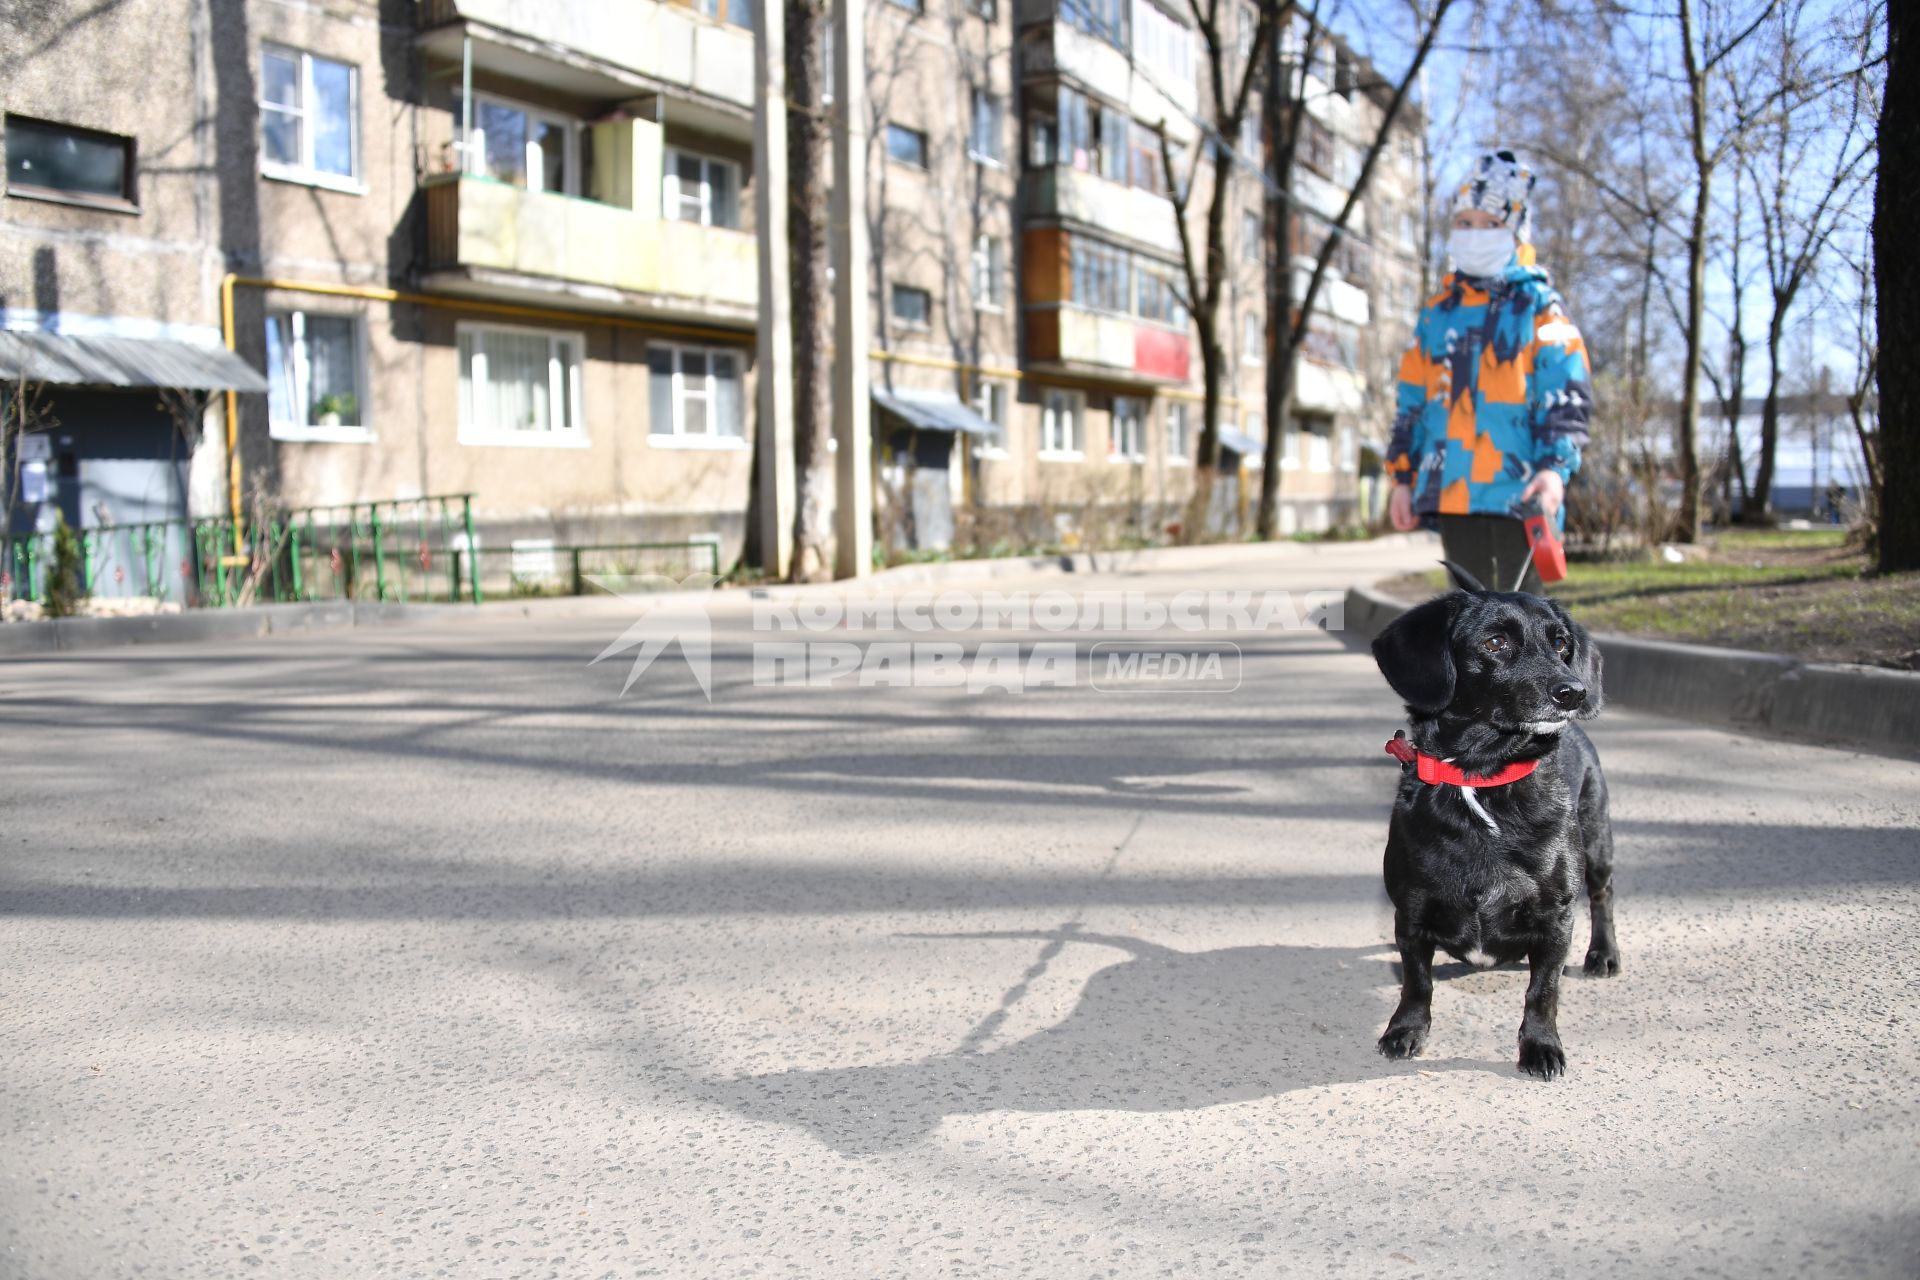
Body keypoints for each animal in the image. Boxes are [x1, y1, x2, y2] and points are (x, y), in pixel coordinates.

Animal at [1367, 564, 1620, 1074]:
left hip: (1598, 840)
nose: (1574, 691)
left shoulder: (1556, 918)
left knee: (1603, 894)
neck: (1479, 780)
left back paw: (1603, 953)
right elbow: (1416, 982)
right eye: (1495, 642)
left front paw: (1541, 1046)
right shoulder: (1412, 915)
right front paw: (1405, 1029)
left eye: (1561, 643)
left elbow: (1543, 992)